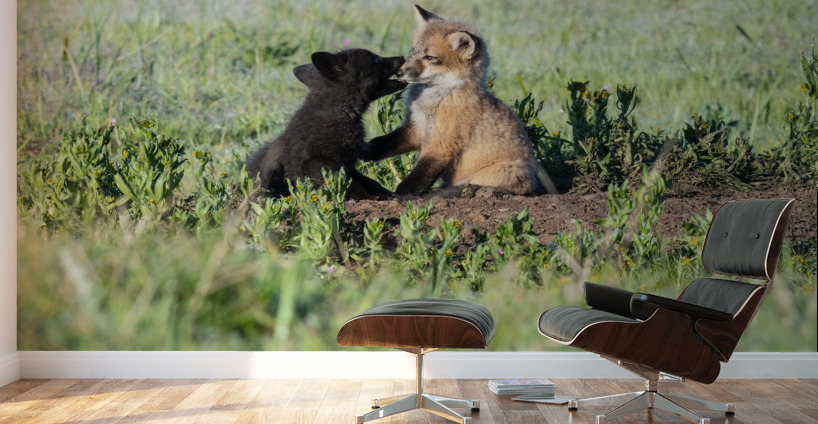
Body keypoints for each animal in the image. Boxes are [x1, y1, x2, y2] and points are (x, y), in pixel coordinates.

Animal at [246, 49, 406, 199]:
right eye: (375, 59)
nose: (402, 57)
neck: (341, 112)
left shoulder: (346, 163)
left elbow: (369, 181)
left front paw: (390, 193)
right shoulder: (320, 163)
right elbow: (348, 184)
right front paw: (372, 197)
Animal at [363, 5, 542, 196]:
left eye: (430, 58)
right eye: (412, 51)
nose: (399, 73)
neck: (434, 101)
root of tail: (534, 184)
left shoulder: (441, 146)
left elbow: (414, 181)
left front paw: (398, 196)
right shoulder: (416, 130)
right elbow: (381, 143)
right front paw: (364, 151)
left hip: (503, 172)